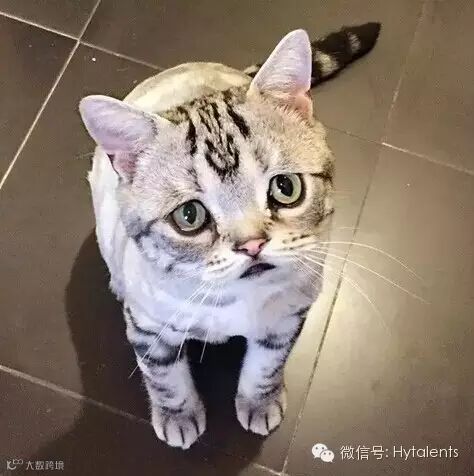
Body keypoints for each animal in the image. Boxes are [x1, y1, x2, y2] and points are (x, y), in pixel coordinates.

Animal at [79, 22, 380, 449]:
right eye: (189, 216)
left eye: (285, 187)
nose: (251, 244)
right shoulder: (150, 326)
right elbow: (163, 376)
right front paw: (178, 416)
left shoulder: (288, 315)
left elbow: (267, 365)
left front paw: (260, 402)